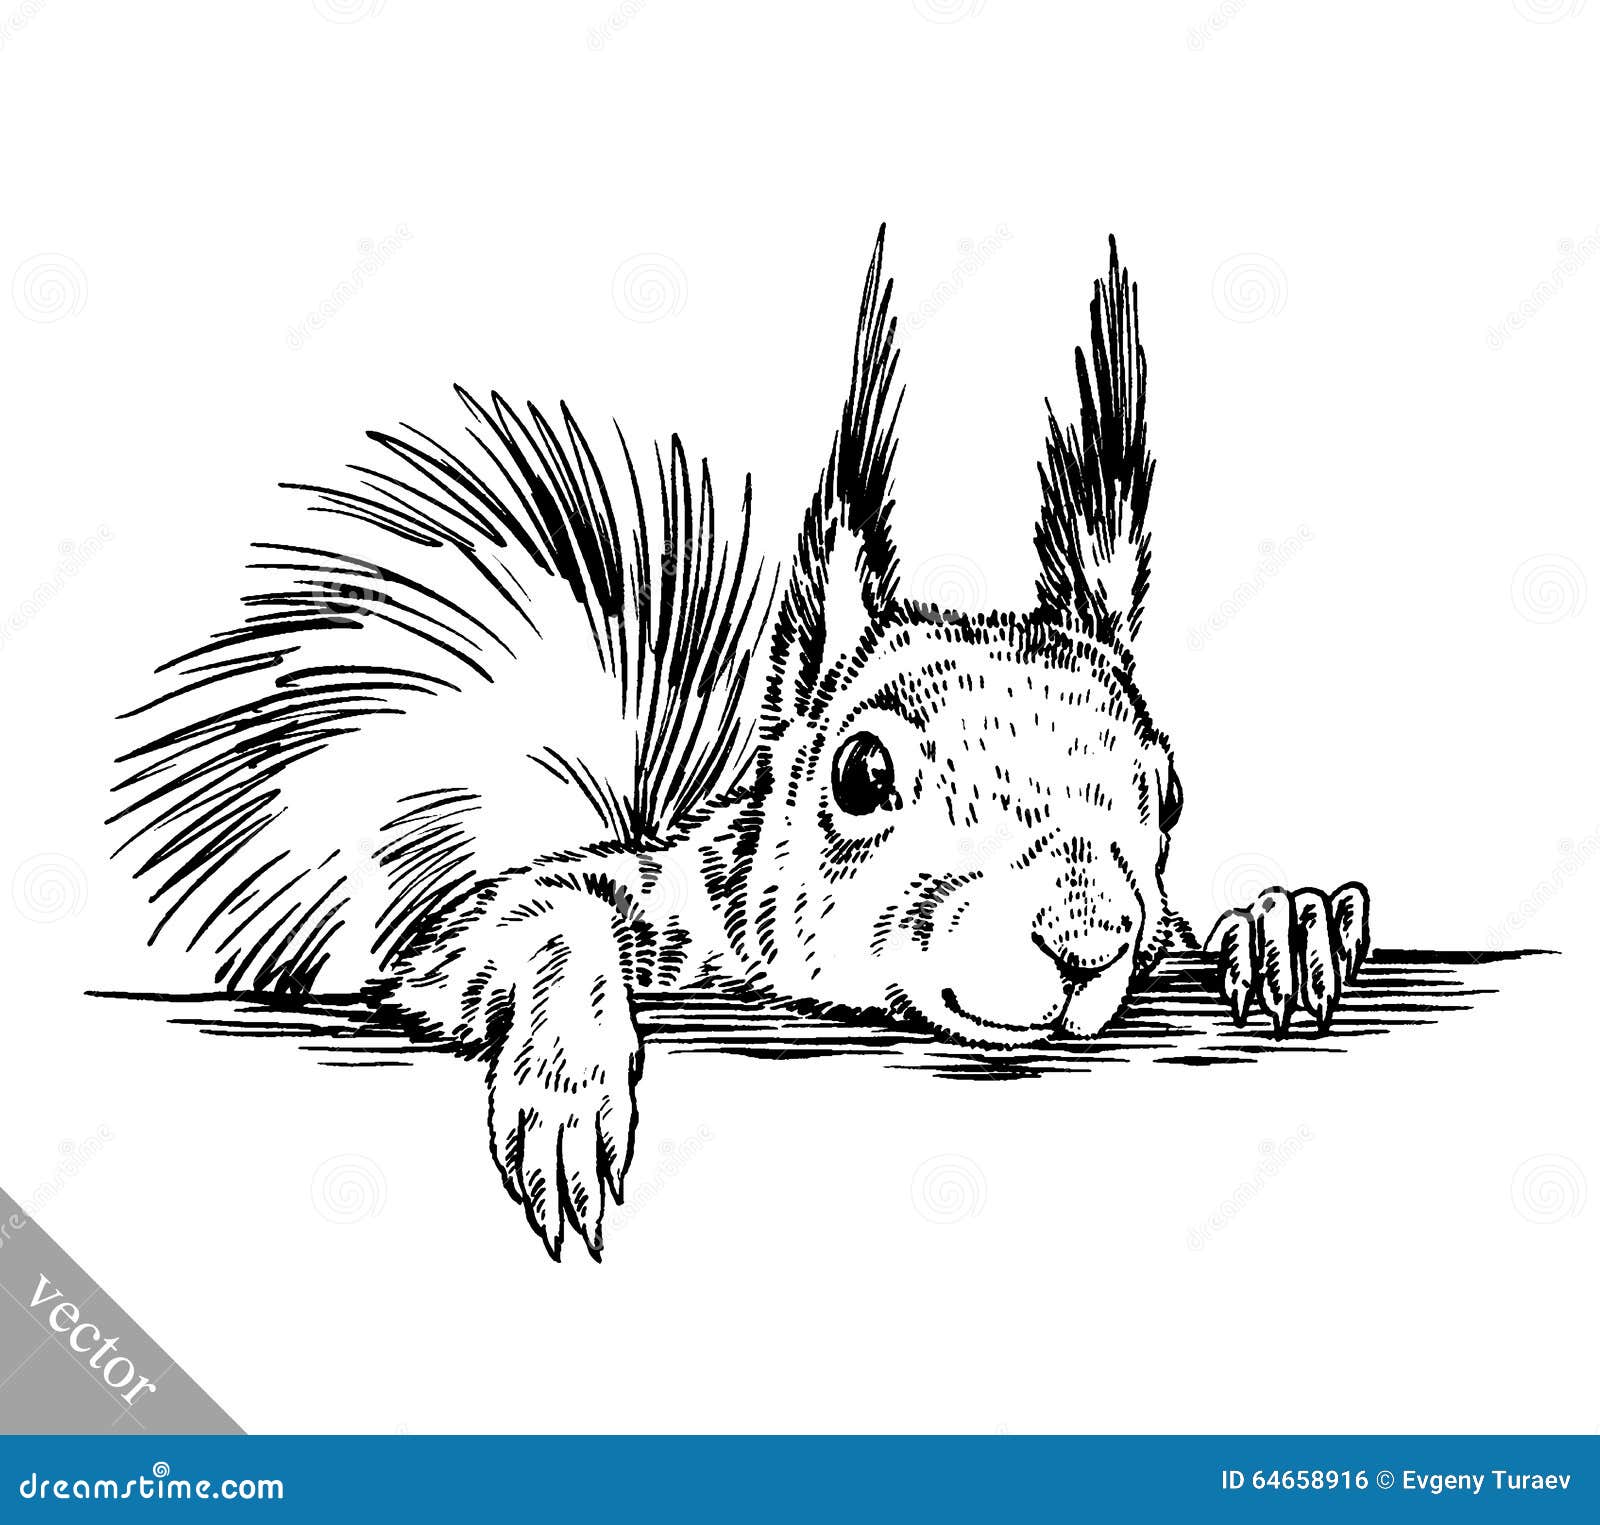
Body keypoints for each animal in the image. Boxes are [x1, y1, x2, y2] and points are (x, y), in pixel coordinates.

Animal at [113, 230, 1370, 1261]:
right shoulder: (574, 921)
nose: (1083, 940)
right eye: (861, 775)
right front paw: (568, 1085)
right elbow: (528, 921)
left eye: (1168, 793)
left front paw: (1287, 926)